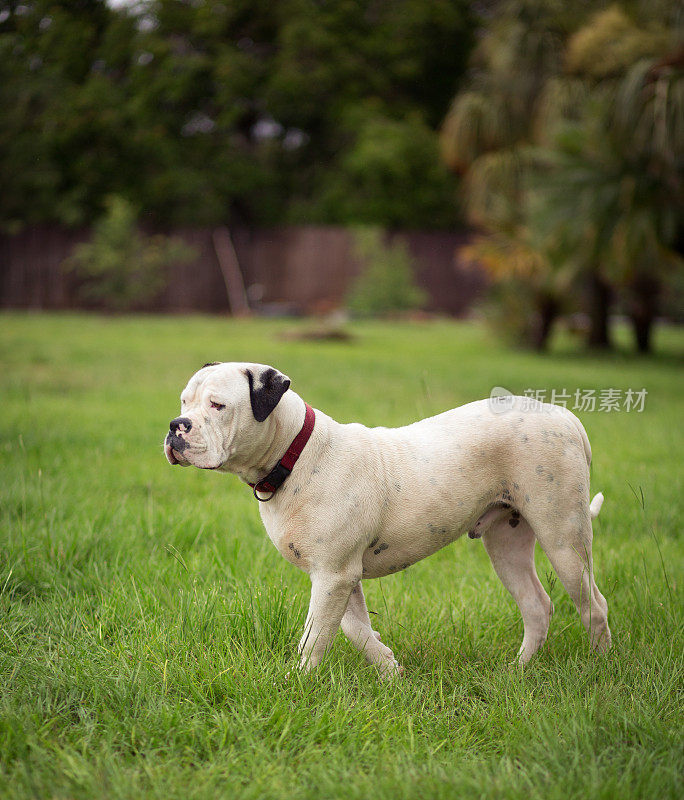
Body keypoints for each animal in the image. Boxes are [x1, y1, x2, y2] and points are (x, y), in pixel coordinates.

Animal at [164, 362, 608, 676]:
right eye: (184, 402)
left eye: (218, 405)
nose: (175, 426)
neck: (295, 453)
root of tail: (565, 416)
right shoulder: (339, 575)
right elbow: (352, 628)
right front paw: (389, 668)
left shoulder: (334, 574)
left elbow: (315, 637)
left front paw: (297, 682)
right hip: (506, 542)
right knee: (536, 605)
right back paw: (517, 672)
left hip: (563, 536)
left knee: (593, 605)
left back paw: (599, 668)